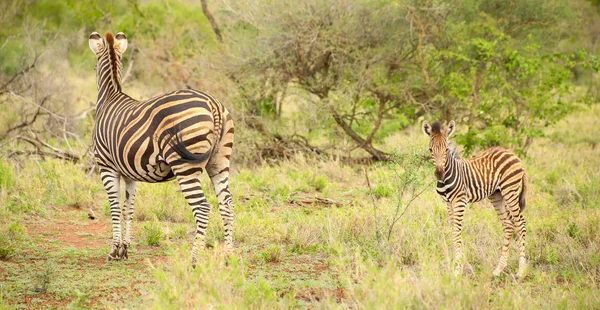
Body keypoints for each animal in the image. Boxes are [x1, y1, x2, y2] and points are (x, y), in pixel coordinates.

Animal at [89, 30, 234, 266]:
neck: (110, 97)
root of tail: (212, 104)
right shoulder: (129, 172)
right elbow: (129, 209)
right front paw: (124, 249)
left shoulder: (106, 166)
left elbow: (114, 207)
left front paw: (114, 250)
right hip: (220, 161)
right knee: (227, 204)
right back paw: (229, 256)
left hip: (185, 167)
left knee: (202, 208)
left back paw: (194, 260)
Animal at [420, 120, 528, 278]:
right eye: (430, 150)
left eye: (446, 149)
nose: (439, 174)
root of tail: (513, 154)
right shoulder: (448, 203)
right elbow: (454, 232)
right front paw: (457, 267)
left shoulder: (460, 201)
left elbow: (456, 233)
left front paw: (457, 271)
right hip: (497, 195)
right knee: (509, 225)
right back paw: (498, 270)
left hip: (510, 191)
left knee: (520, 224)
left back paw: (520, 271)